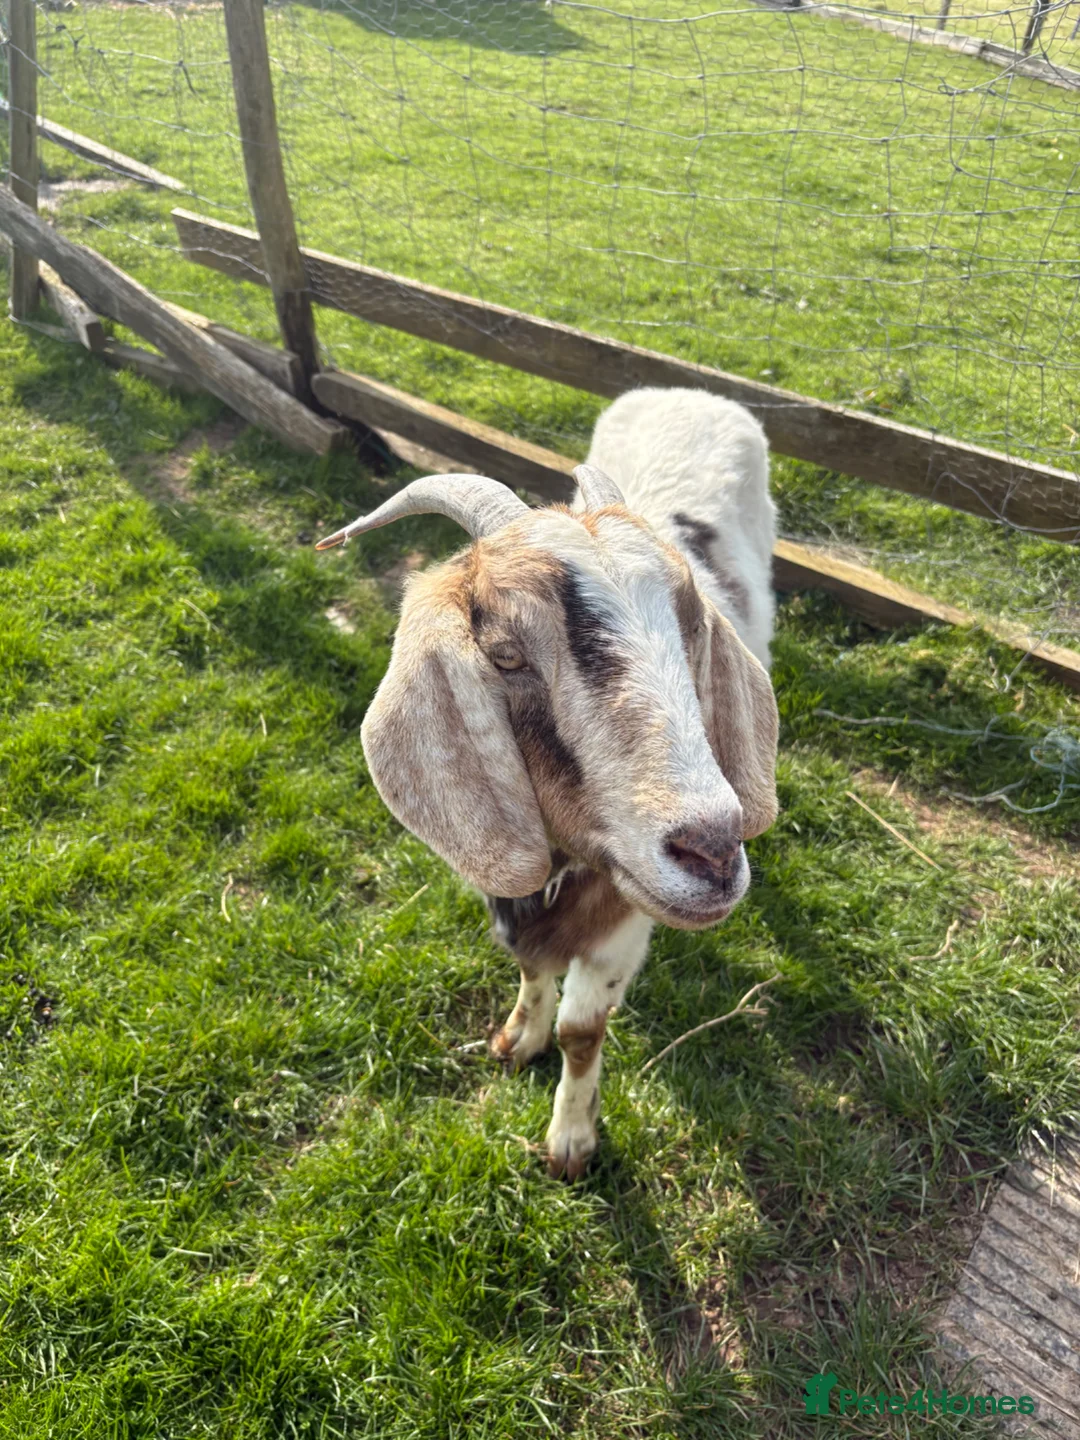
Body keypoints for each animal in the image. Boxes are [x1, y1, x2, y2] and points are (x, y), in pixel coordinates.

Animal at [317, 387, 779, 1179]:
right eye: (505, 654)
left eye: (690, 626)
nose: (714, 850)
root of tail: (692, 391)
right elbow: (532, 971)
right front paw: (515, 1040)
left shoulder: (621, 927)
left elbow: (581, 1032)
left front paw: (570, 1143)